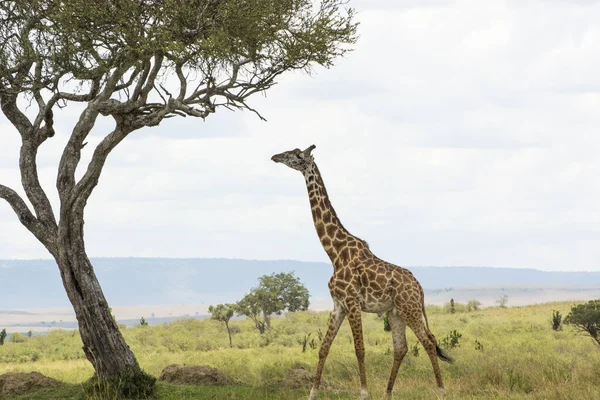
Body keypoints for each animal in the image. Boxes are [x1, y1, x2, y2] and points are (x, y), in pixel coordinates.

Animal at [274, 145, 454, 398]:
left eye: (296, 155)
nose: (275, 157)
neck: (335, 253)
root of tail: (419, 287)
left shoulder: (352, 302)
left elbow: (359, 348)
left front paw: (364, 393)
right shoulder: (338, 304)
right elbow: (323, 347)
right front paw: (313, 393)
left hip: (410, 308)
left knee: (428, 341)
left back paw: (440, 391)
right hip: (396, 312)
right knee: (401, 348)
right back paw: (387, 393)